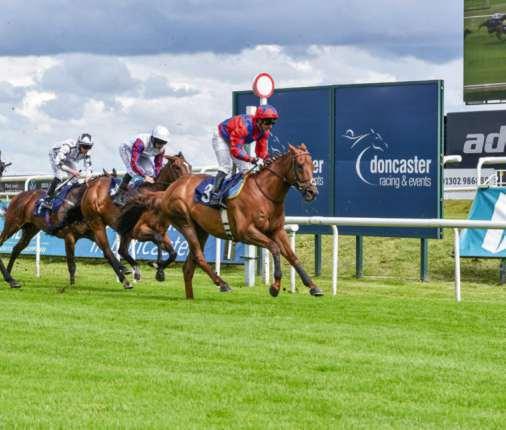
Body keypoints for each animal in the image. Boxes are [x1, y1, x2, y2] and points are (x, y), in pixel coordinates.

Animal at [79, 152, 191, 286]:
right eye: (177, 167)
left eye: (189, 166)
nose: (188, 184)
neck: (155, 201)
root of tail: (91, 186)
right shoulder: (139, 231)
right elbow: (157, 239)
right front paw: (157, 266)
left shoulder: (162, 232)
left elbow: (173, 253)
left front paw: (159, 270)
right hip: (97, 223)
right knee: (108, 252)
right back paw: (124, 277)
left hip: (123, 231)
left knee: (121, 250)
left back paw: (132, 272)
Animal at [118, 143, 323, 299]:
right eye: (300, 166)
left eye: (313, 166)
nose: (312, 192)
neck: (264, 193)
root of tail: (169, 190)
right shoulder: (245, 232)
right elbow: (274, 248)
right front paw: (275, 286)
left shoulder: (277, 230)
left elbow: (292, 256)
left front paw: (313, 287)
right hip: (184, 222)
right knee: (199, 257)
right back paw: (222, 283)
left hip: (201, 230)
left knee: (188, 266)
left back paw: (190, 297)